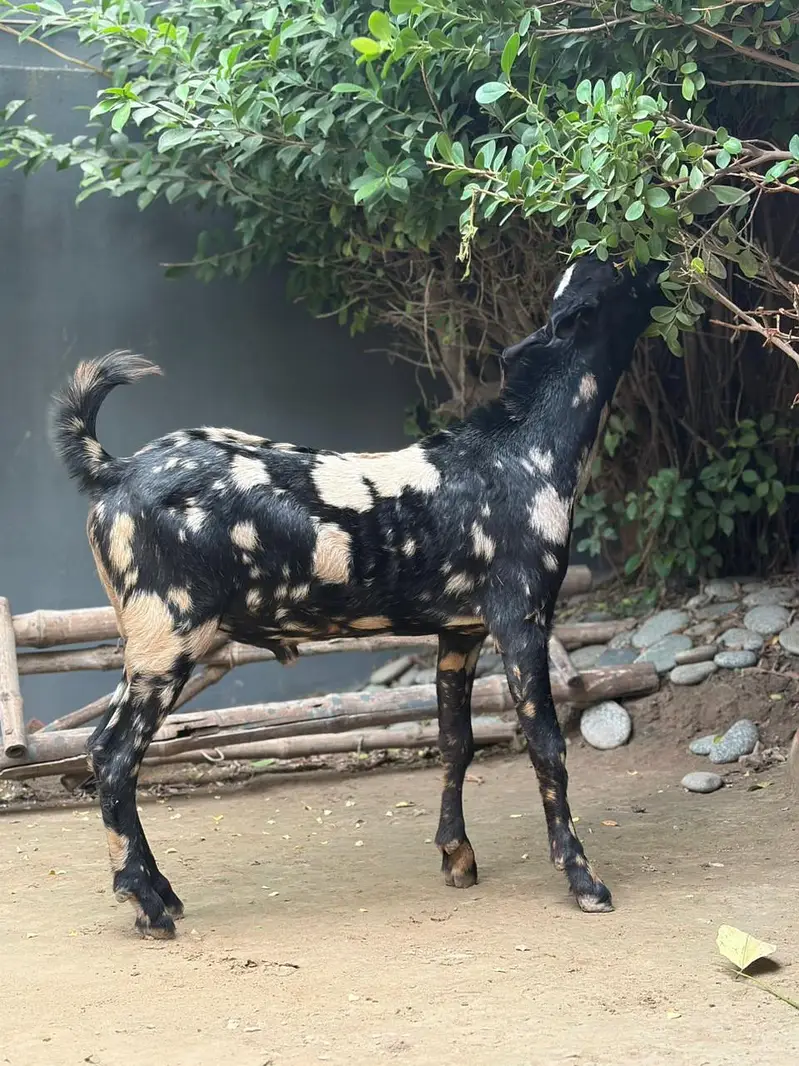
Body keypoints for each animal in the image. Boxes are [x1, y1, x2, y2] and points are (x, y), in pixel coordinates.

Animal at [50, 253, 661, 938]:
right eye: (624, 273)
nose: (666, 265)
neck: (520, 451)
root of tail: (117, 470)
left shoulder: (461, 631)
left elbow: (456, 740)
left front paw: (457, 856)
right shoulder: (522, 619)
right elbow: (548, 746)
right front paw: (583, 879)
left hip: (143, 649)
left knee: (104, 750)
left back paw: (161, 892)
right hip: (168, 640)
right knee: (113, 756)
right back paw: (147, 905)